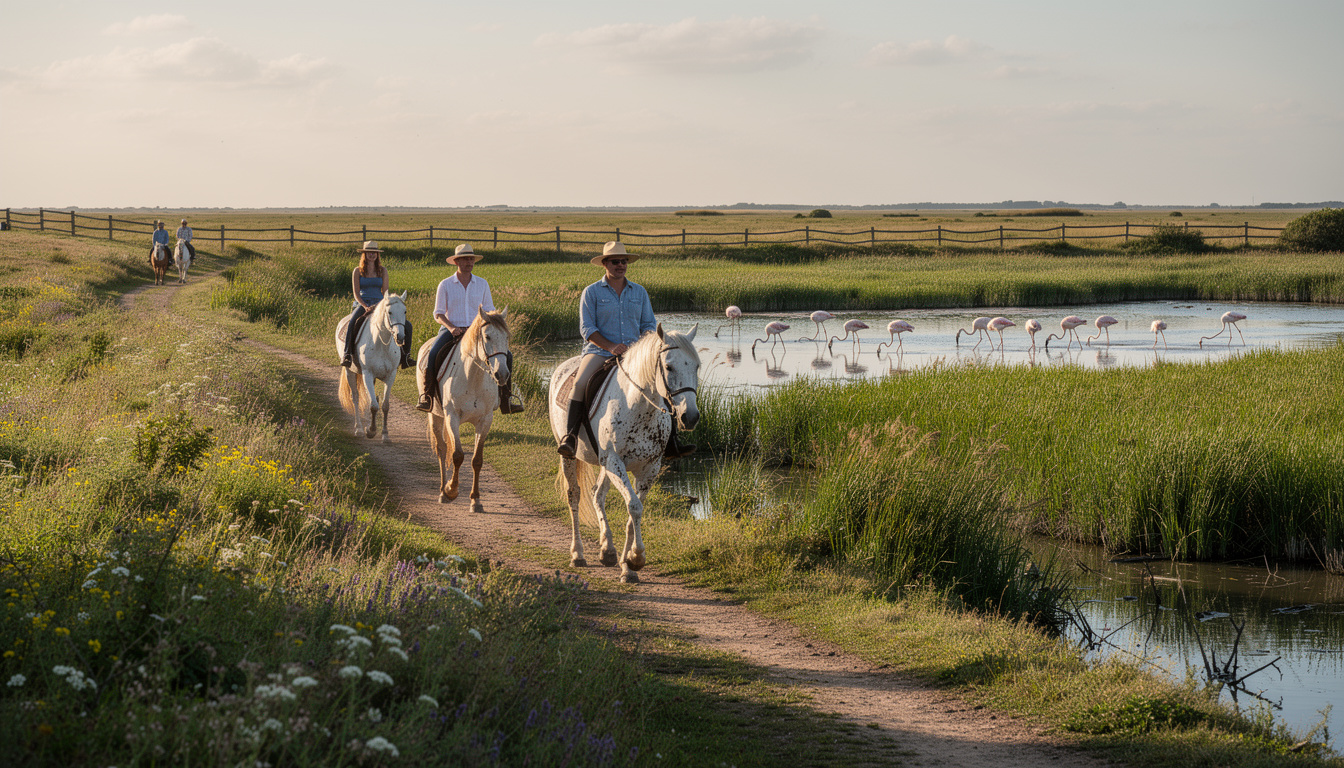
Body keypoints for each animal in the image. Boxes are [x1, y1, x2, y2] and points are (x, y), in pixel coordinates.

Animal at [334, 292, 408, 441]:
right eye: (389, 312)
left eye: (404, 311)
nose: (400, 337)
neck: (382, 344)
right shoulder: (367, 374)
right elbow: (373, 406)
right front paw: (371, 431)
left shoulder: (391, 375)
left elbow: (384, 405)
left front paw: (385, 434)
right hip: (350, 371)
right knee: (356, 398)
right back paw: (359, 429)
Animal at [418, 307, 512, 513]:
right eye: (487, 336)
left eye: (506, 337)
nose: (502, 374)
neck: (473, 377)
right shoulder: (452, 417)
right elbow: (457, 455)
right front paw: (451, 490)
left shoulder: (485, 420)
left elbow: (476, 460)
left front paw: (475, 500)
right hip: (435, 416)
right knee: (441, 449)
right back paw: (442, 492)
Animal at [549, 325, 700, 583]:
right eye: (669, 366)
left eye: (696, 366)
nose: (690, 417)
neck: (638, 407)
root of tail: (564, 366)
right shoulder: (615, 462)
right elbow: (634, 506)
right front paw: (636, 558)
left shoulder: (649, 468)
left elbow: (634, 512)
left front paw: (628, 565)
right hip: (571, 457)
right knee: (574, 496)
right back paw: (578, 554)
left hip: (604, 465)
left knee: (597, 494)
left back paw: (607, 550)